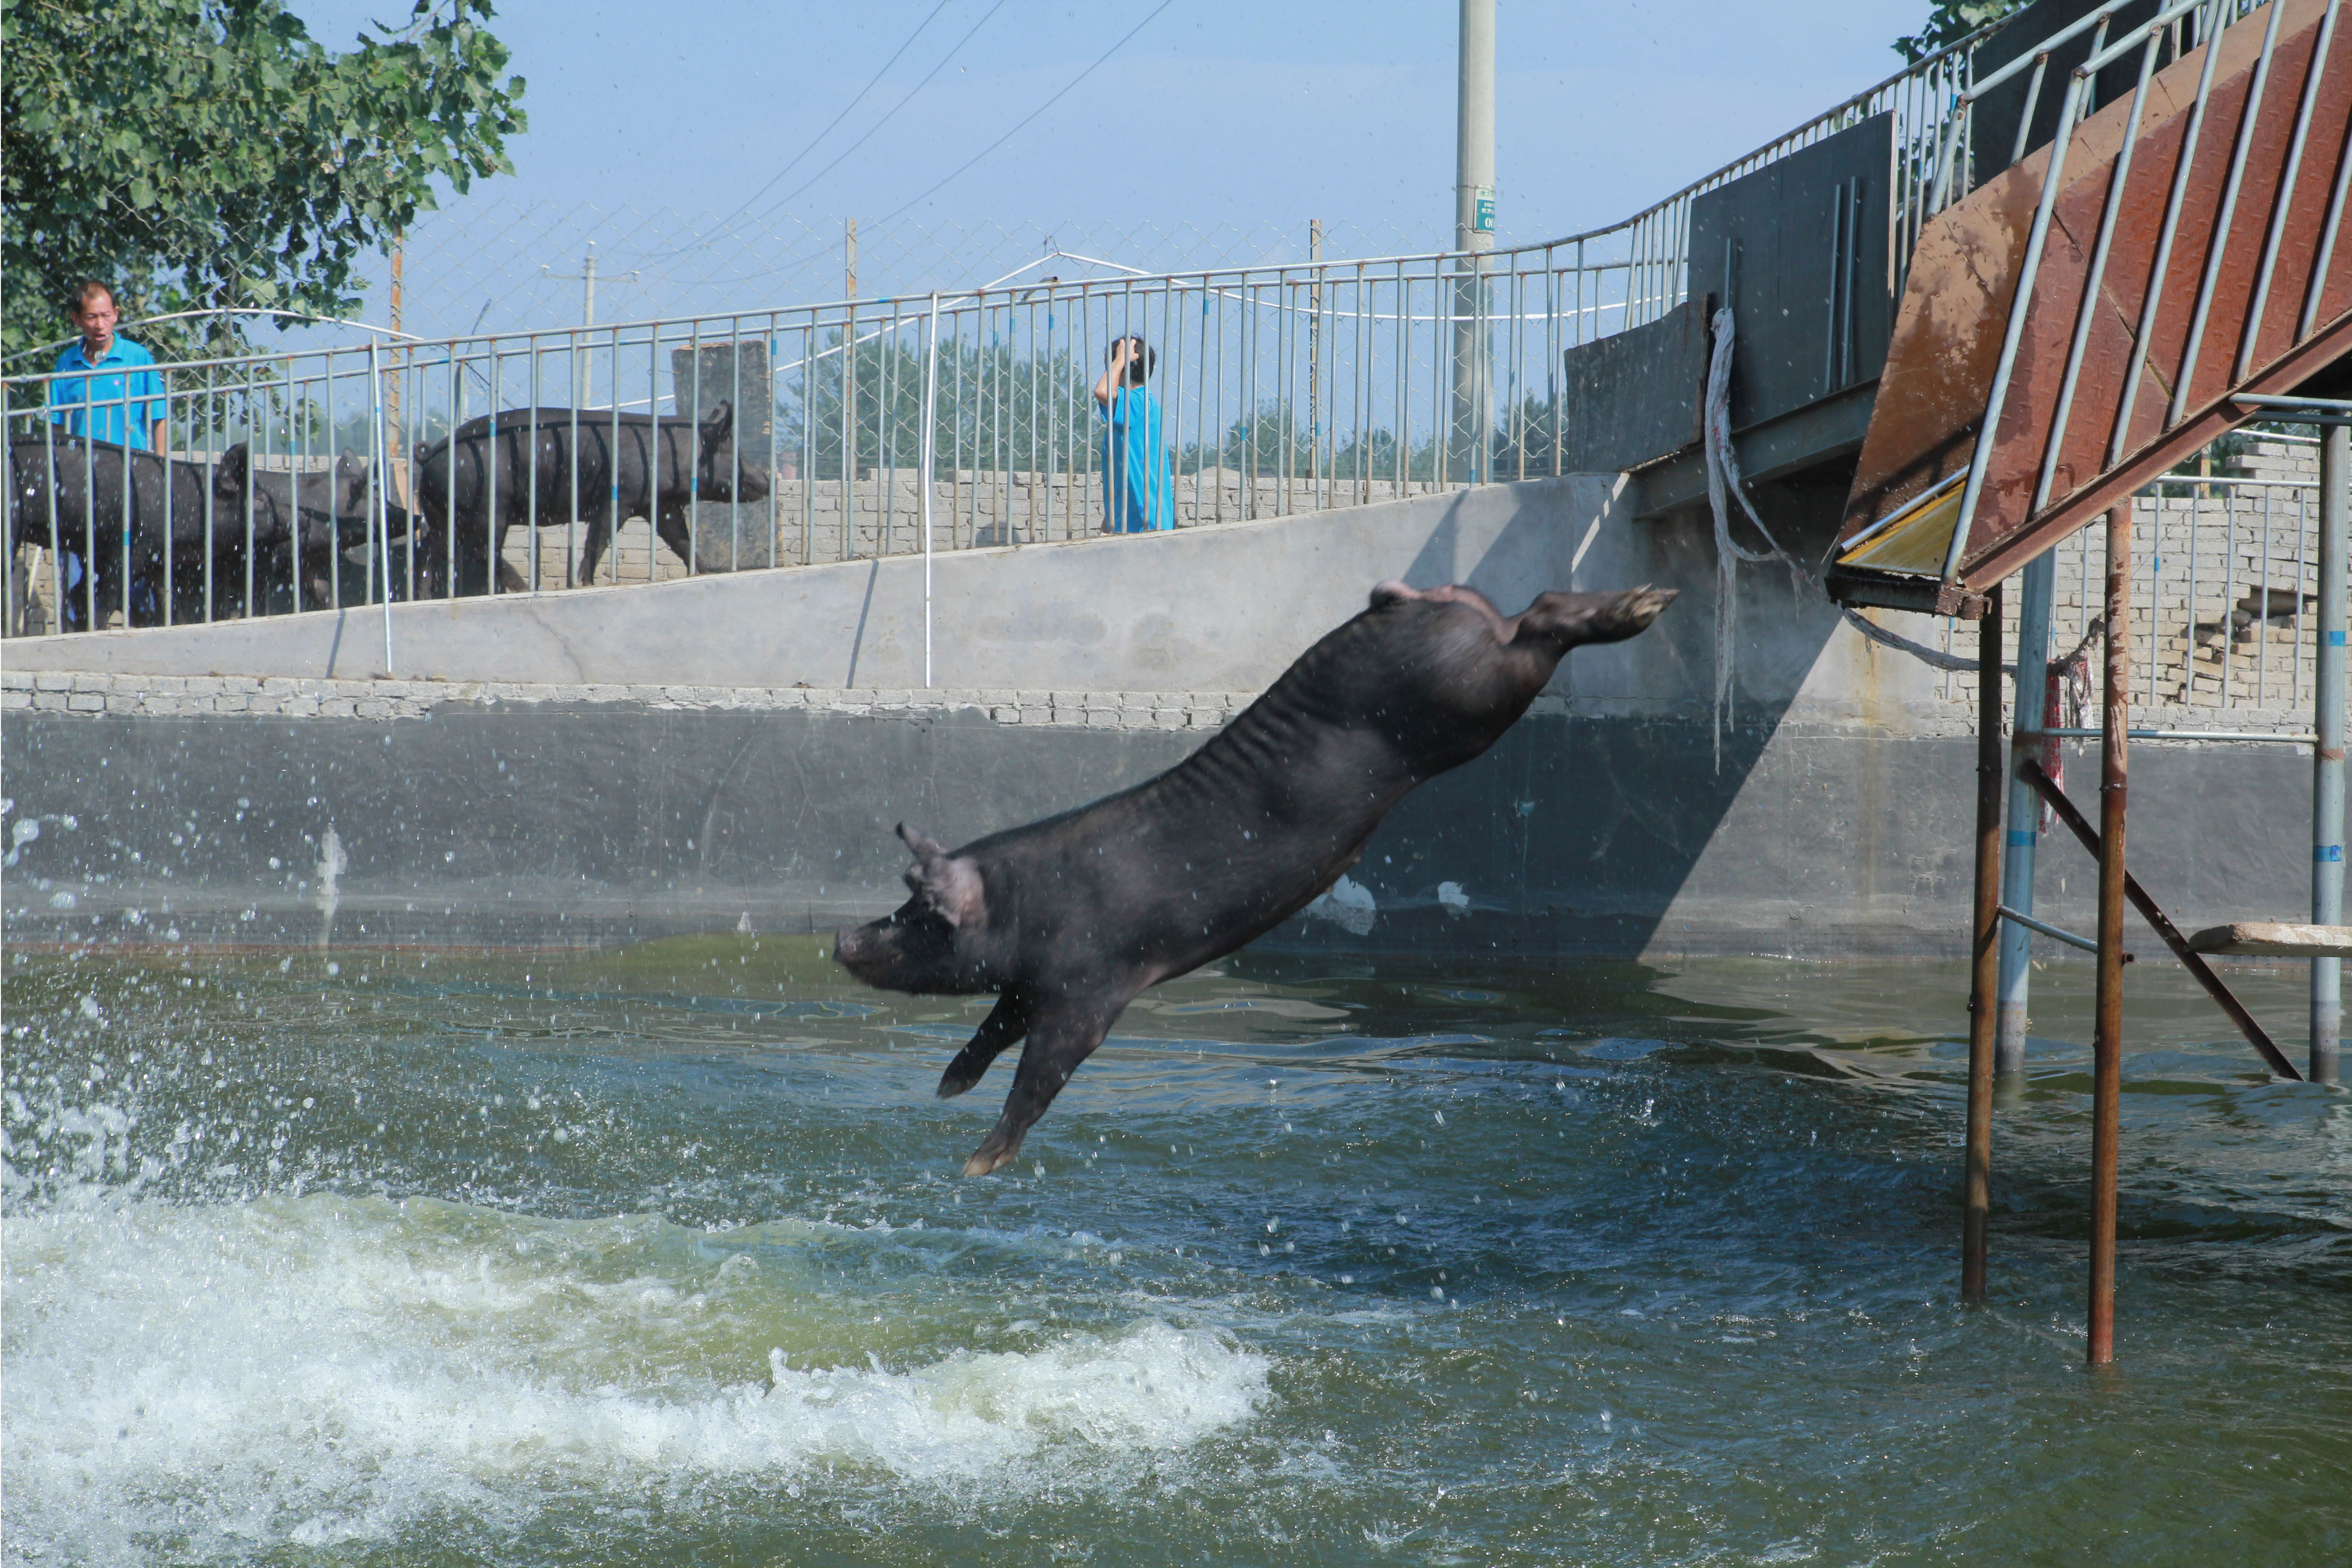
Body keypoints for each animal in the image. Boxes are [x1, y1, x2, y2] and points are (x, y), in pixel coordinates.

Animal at [833, 583, 1675, 1171]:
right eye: (902, 904)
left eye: (922, 915)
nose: (843, 940)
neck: (1031, 901)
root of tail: (1423, 602)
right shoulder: (1028, 986)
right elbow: (990, 1030)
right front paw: (947, 1087)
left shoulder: (1088, 987)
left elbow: (1042, 1074)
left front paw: (977, 1165)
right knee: (1540, 608)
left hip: (1476, 697)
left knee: (1538, 626)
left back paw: (1644, 607)